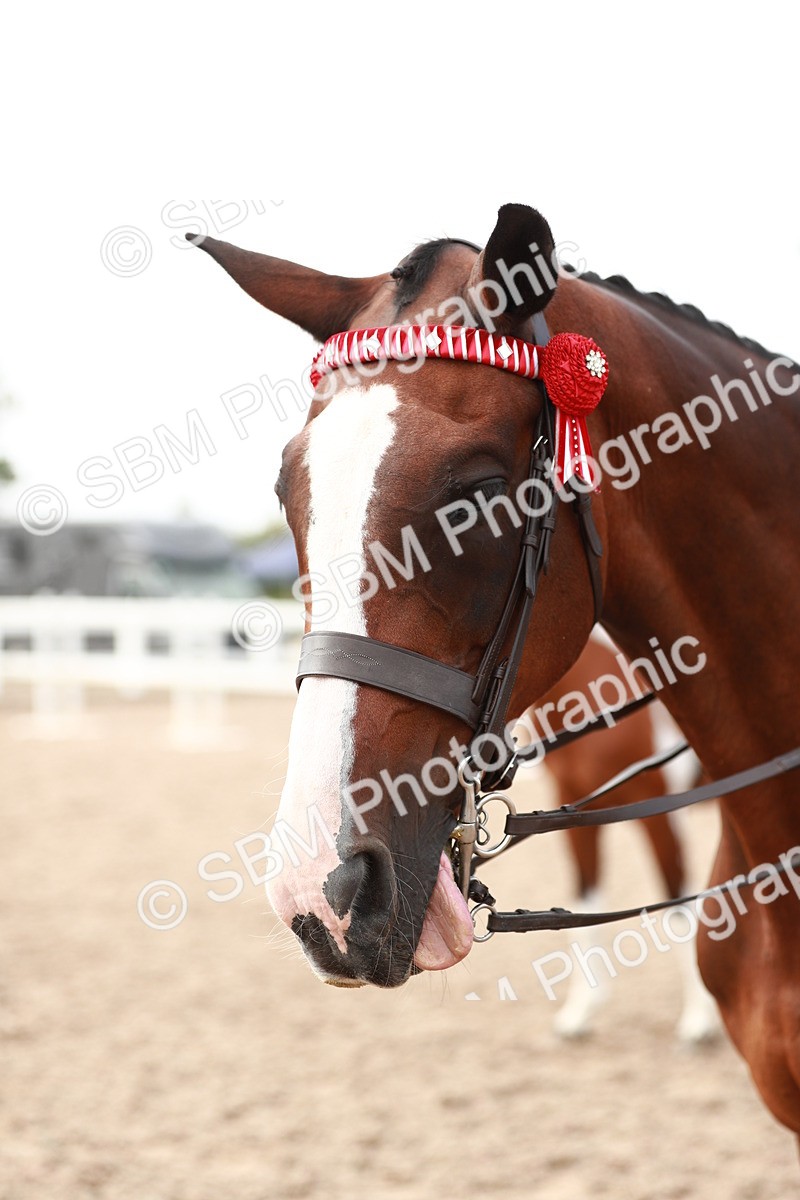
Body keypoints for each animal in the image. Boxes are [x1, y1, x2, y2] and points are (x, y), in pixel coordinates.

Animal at [514, 629, 718, 1042]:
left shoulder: (662, 813)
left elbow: (678, 909)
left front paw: (699, 1019)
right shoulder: (571, 807)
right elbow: (584, 901)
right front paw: (581, 1012)